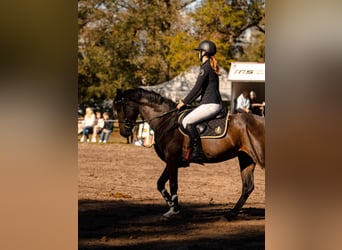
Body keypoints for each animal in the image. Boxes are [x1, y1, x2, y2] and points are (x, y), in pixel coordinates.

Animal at [114, 88, 264, 221]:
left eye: (120, 108)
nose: (124, 132)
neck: (166, 121)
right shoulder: (172, 161)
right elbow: (160, 184)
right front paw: (174, 208)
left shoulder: (172, 160)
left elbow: (173, 184)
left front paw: (175, 210)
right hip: (246, 158)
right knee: (247, 187)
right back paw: (230, 214)